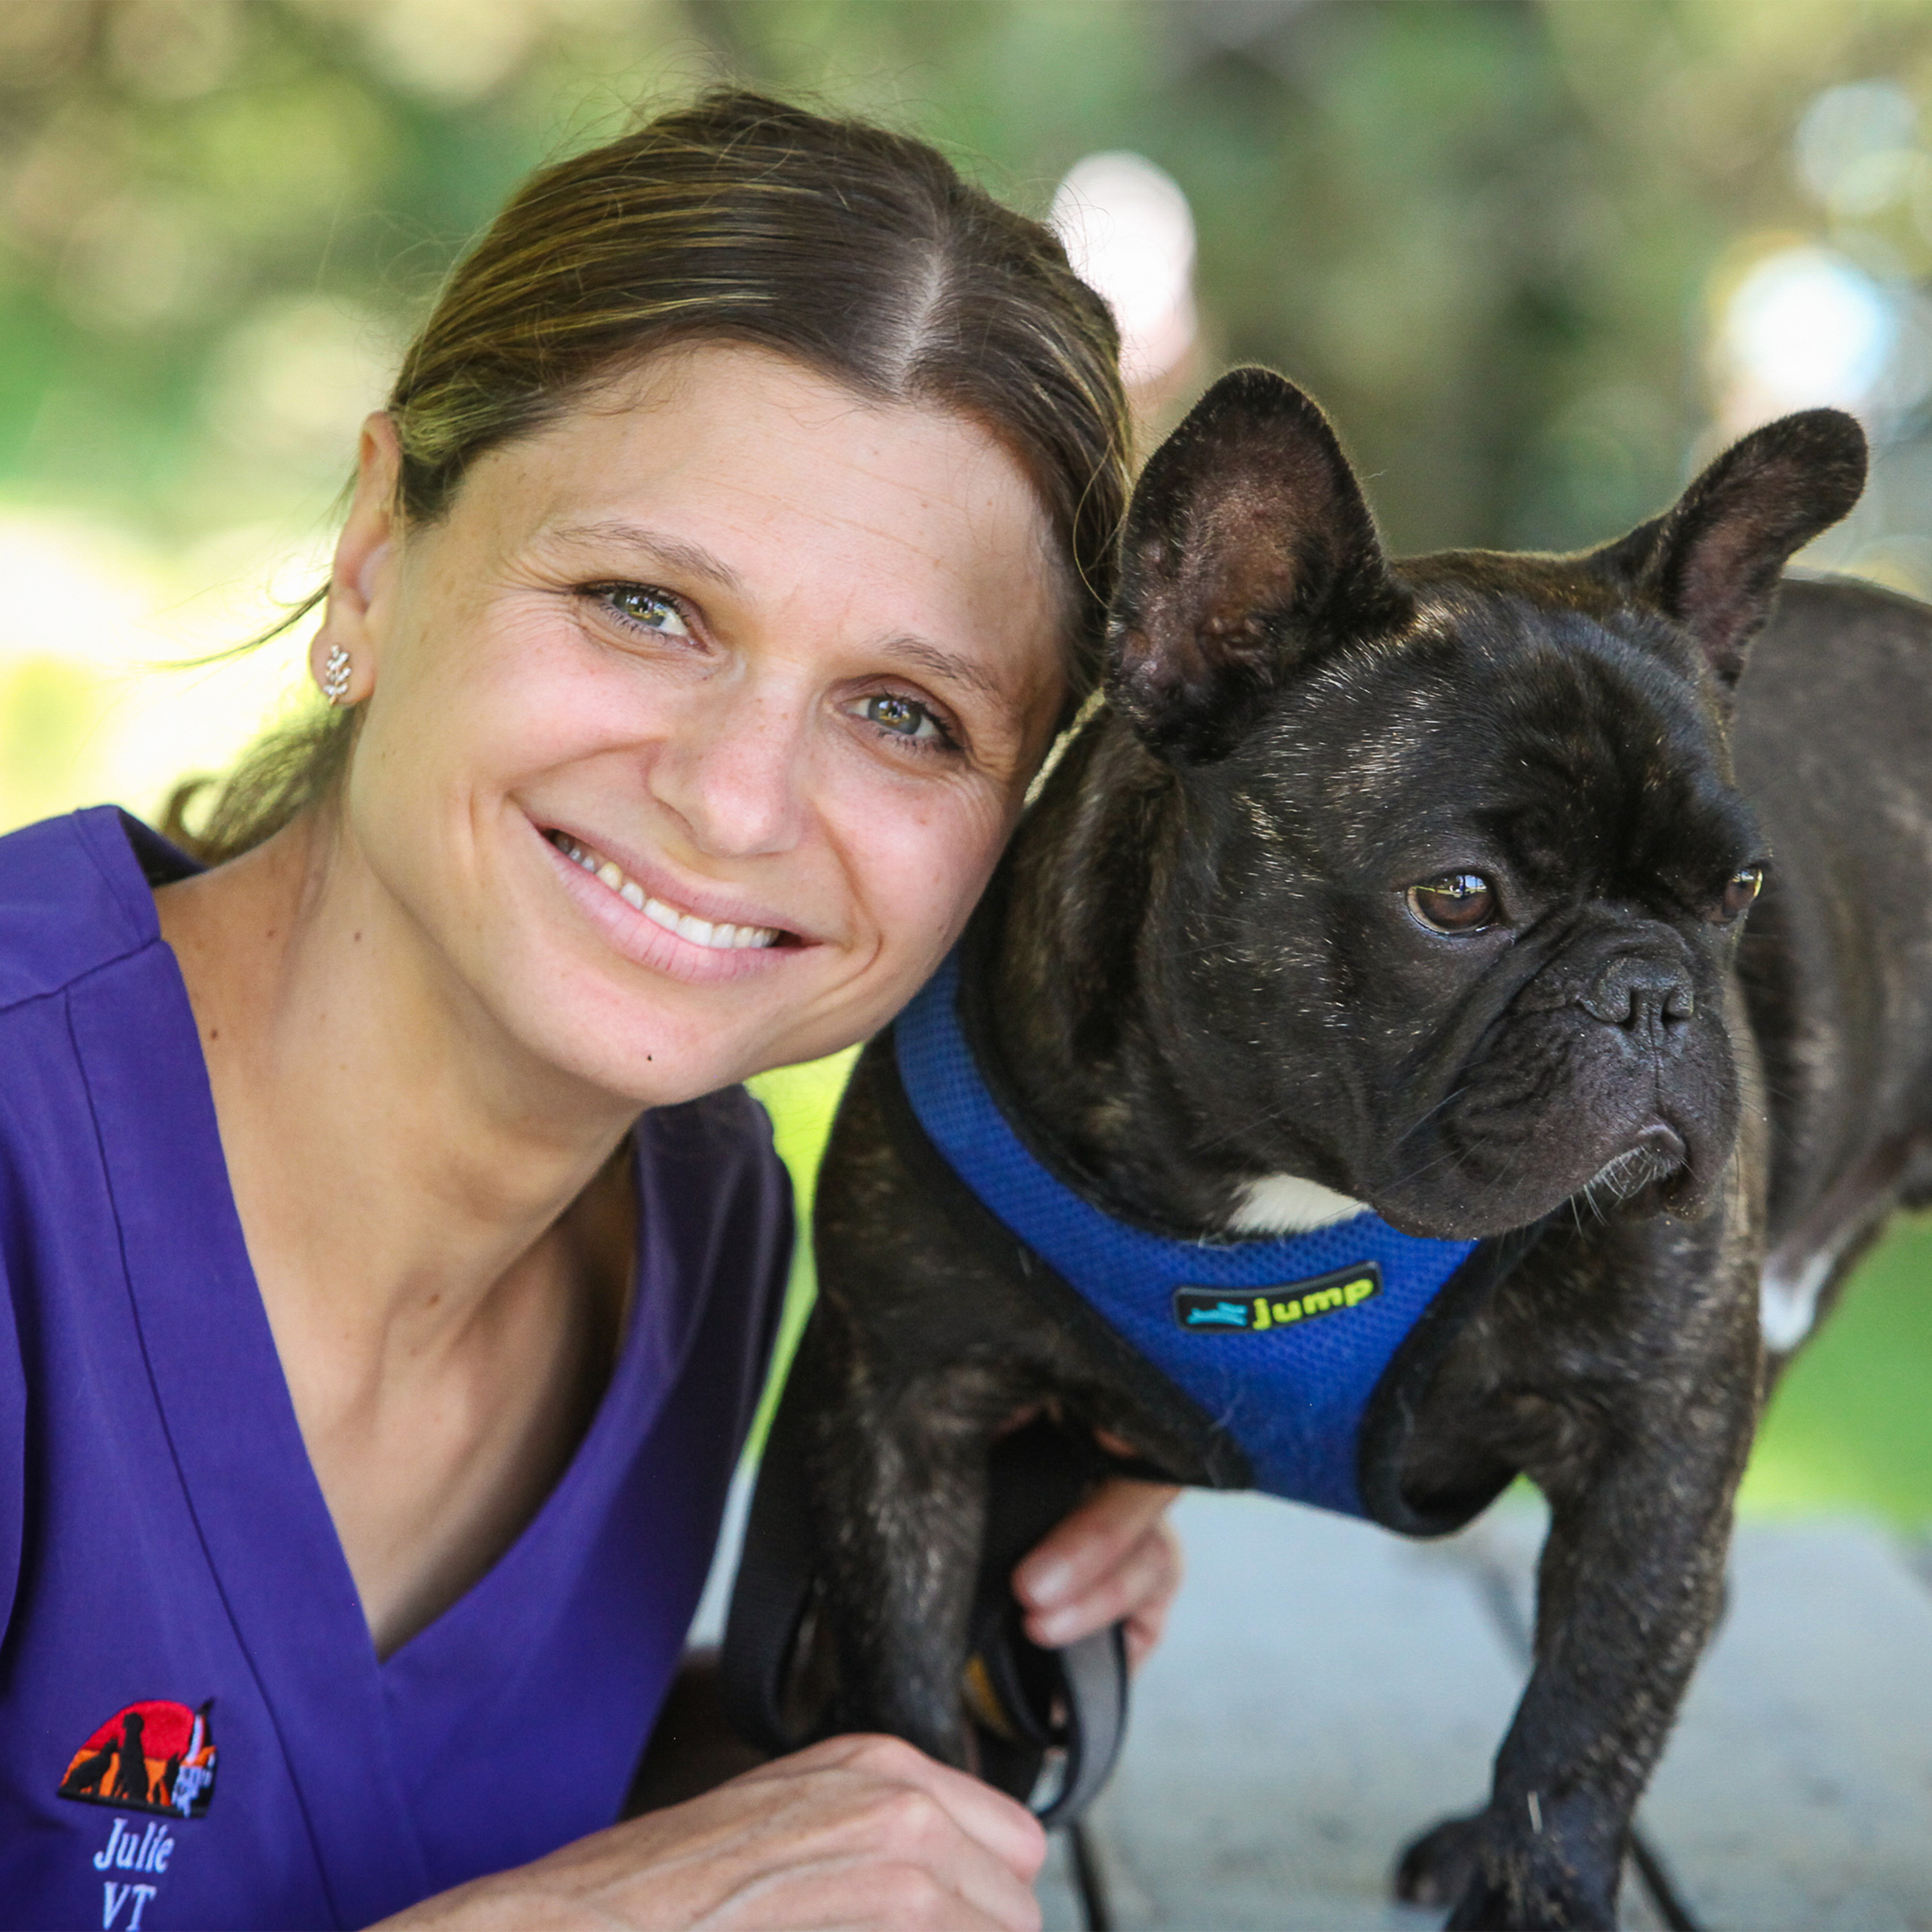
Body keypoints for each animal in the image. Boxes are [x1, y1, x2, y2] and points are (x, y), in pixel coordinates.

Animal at [761, 369, 1924, 1924]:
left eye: (1736, 887)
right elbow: (898, 1676)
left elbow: (1586, 1702)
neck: (1266, 1192)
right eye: (1460, 897)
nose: (1656, 995)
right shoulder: (904, 1396)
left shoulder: (1652, 1439)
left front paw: (1535, 1885)